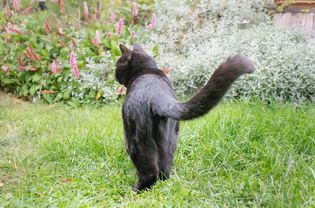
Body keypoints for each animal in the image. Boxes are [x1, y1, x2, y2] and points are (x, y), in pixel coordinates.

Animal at [116, 43, 256, 192]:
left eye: (117, 65)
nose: (115, 76)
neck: (148, 70)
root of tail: (156, 94)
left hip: (134, 138)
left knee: (150, 171)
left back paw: (136, 190)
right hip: (170, 137)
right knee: (165, 167)